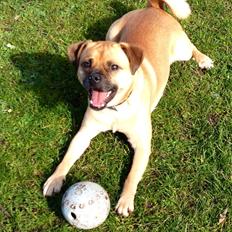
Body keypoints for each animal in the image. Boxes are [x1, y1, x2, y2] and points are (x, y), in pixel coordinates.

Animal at [42, 0, 213, 218]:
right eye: (86, 64)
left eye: (114, 67)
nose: (94, 77)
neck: (115, 109)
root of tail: (153, 7)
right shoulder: (83, 135)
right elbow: (68, 157)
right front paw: (55, 178)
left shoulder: (142, 145)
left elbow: (132, 176)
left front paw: (125, 200)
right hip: (112, 32)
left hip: (181, 49)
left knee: (191, 48)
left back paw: (203, 59)